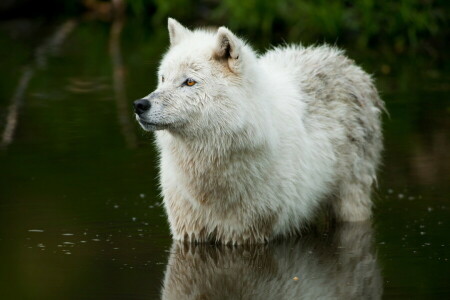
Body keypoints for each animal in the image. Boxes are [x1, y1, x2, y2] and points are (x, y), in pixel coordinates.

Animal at [134, 18, 384, 244]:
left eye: (189, 82)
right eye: (163, 78)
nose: (140, 105)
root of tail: (342, 59)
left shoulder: (250, 234)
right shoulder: (188, 232)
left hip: (351, 204)